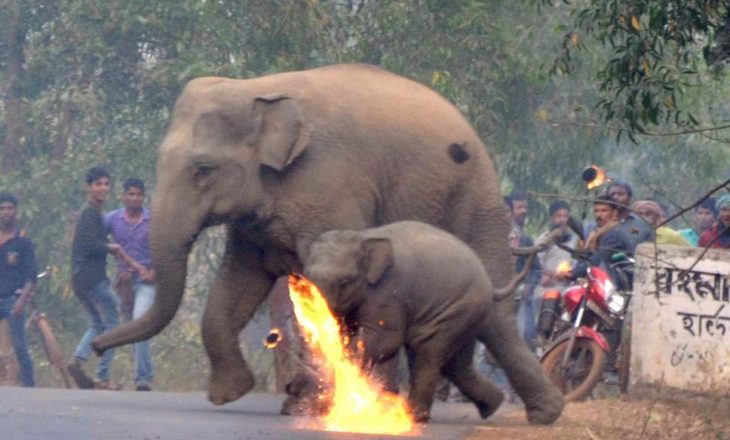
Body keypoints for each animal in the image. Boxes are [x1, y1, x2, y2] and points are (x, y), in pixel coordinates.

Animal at [302, 222, 564, 424]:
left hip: (459, 307)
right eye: (306, 279)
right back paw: (500, 407)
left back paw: (415, 417)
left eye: (346, 281)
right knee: (461, 362)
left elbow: (384, 339)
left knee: (428, 348)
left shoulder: (388, 292)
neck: (363, 236)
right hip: (468, 311)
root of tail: (488, 283)